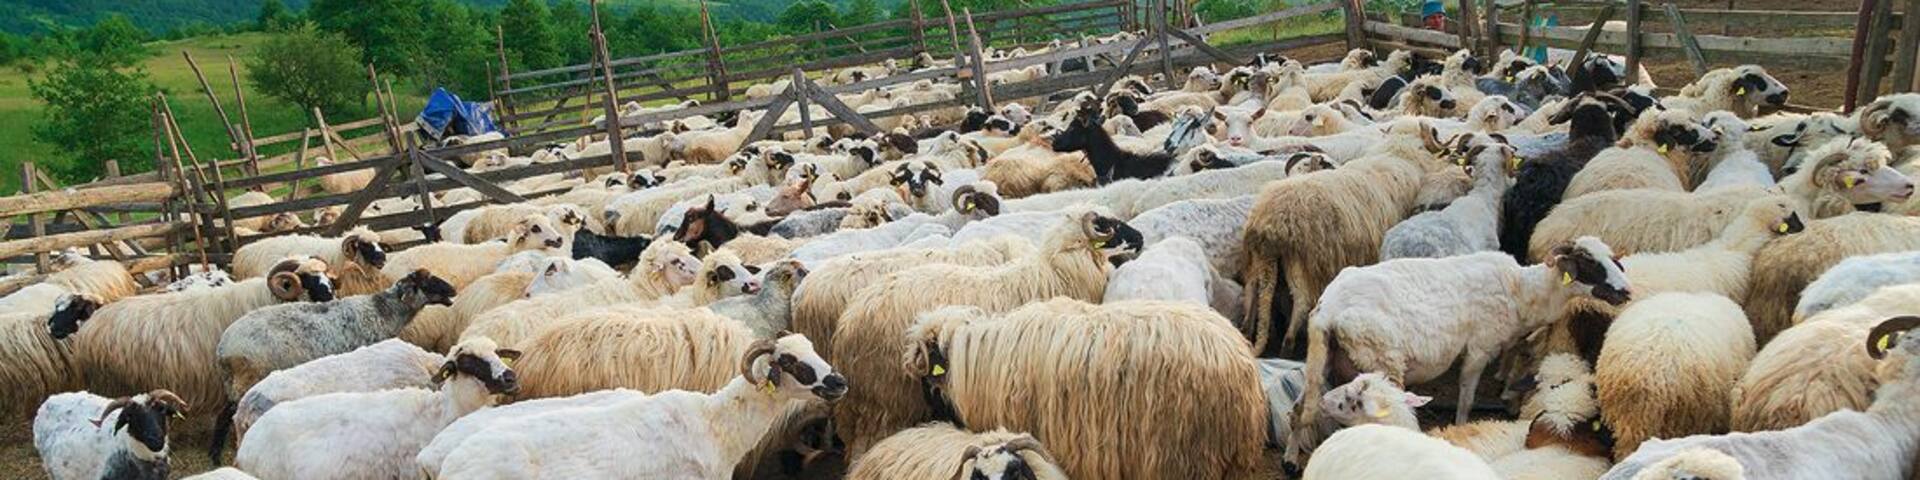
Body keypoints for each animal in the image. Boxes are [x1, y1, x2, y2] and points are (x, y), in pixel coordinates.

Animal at [71, 257, 334, 415]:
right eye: (306, 279)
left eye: (326, 277)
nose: (330, 295)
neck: (265, 298)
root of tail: (88, 327)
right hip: (111, 383)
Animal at [1242, 118, 1450, 357]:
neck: (1399, 154)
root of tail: (1270, 223)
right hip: (1303, 261)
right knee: (1302, 302)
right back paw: (1288, 347)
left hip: (1259, 258)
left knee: (1252, 290)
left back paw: (1247, 332)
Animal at [1291, 237, 1632, 463]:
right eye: (1588, 262)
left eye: (1612, 258)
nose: (1626, 291)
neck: (1524, 292)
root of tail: (1328, 308)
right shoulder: (1479, 348)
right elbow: (1466, 400)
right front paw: (1461, 427)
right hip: (1380, 360)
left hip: (1323, 360)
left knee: (1298, 411)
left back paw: (1291, 460)